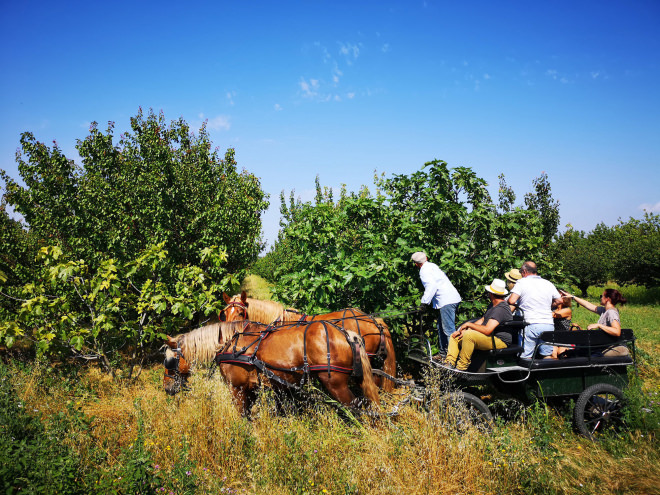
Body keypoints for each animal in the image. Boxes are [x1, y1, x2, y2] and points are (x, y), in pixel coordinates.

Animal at [215, 320, 382, 416]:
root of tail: (347, 334)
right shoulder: (254, 388)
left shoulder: (237, 388)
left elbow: (244, 416)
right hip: (359, 377)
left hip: (336, 383)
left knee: (355, 406)